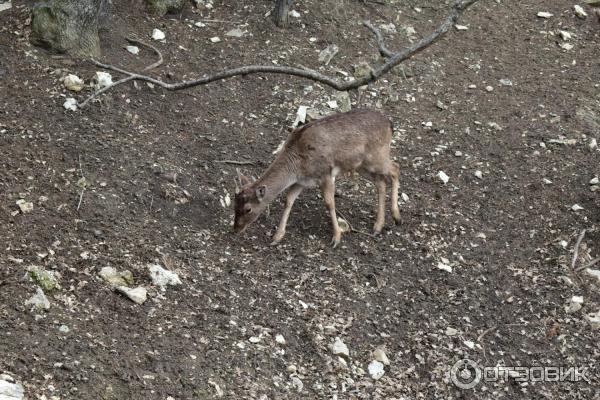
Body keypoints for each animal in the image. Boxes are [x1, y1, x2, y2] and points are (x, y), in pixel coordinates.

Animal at [233, 109, 398, 247]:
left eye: (248, 209)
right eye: (234, 205)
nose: (236, 229)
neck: (296, 165)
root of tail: (390, 124)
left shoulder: (326, 174)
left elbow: (329, 203)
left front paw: (336, 238)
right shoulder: (301, 182)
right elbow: (288, 200)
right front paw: (277, 236)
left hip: (377, 157)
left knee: (396, 169)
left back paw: (396, 217)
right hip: (361, 165)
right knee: (381, 182)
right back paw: (378, 226)